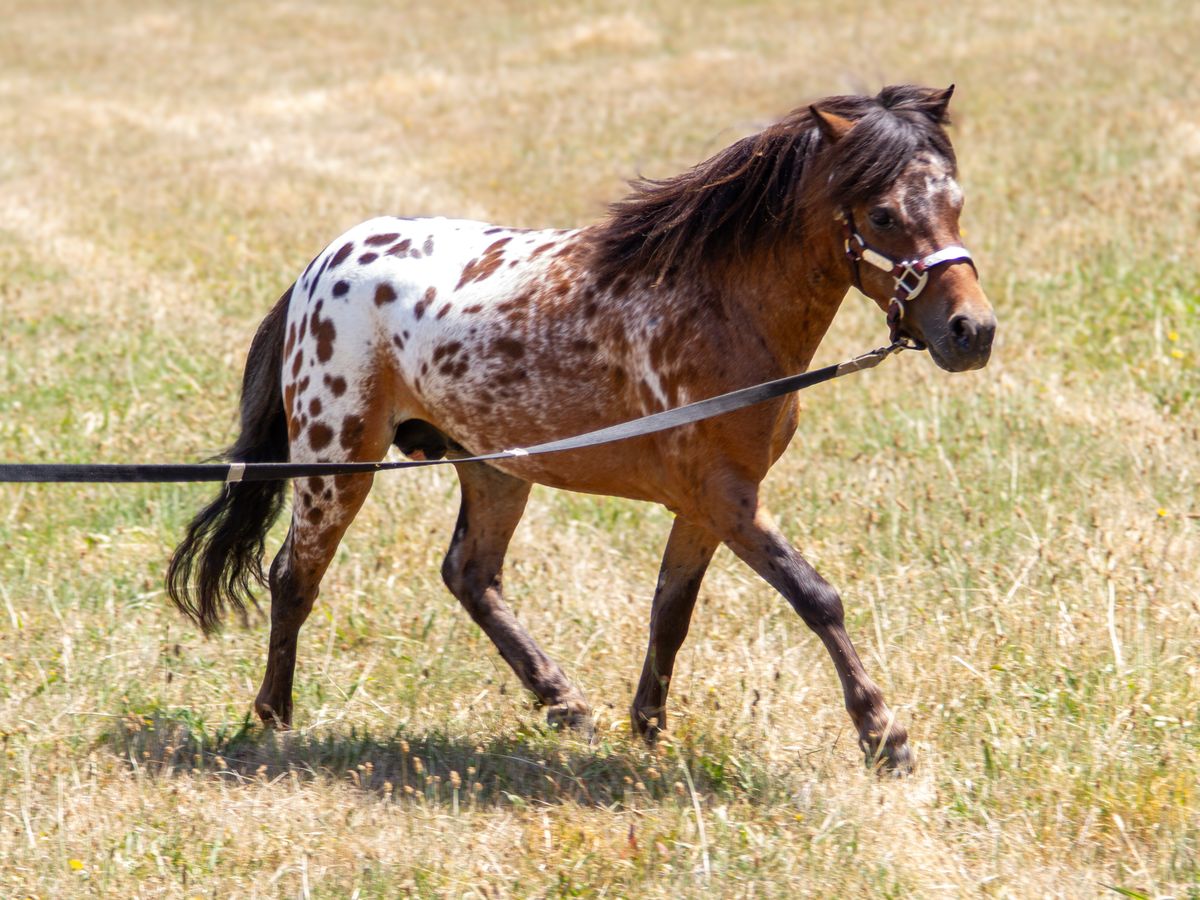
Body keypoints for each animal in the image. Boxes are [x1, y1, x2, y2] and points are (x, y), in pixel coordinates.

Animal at [167, 84, 995, 771]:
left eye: (956, 201)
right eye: (884, 214)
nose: (974, 331)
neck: (720, 304)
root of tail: (320, 264)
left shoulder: (708, 502)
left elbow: (671, 611)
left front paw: (648, 726)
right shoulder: (726, 497)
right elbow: (816, 597)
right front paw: (884, 735)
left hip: (489, 465)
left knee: (470, 576)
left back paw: (564, 703)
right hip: (335, 459)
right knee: (293, 576)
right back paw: (274, 719)